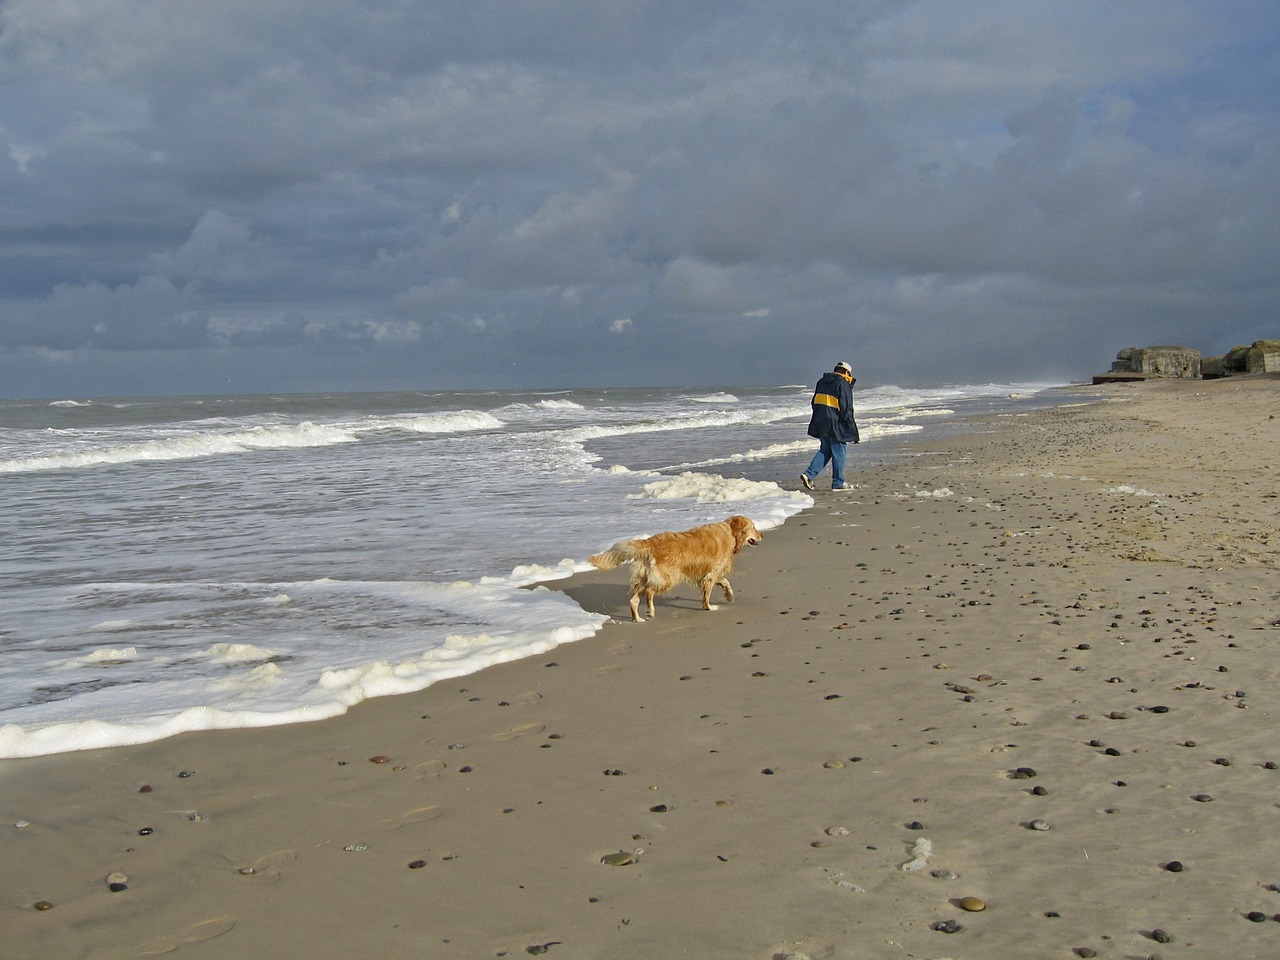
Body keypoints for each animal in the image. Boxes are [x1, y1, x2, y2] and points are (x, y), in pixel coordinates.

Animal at [586, 519, 757, 624]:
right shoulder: (710, 574)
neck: (730, 532)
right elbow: (708, 593)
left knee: (634, 600)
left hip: (646, 577)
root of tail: (650, 542)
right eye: (754, 527)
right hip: (668, 578)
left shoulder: (709, 573)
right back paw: (650, 611)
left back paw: (638, 618)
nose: (761, 535)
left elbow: (724, 581)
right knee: (649, 591)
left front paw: (729, 595)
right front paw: (709, 607)